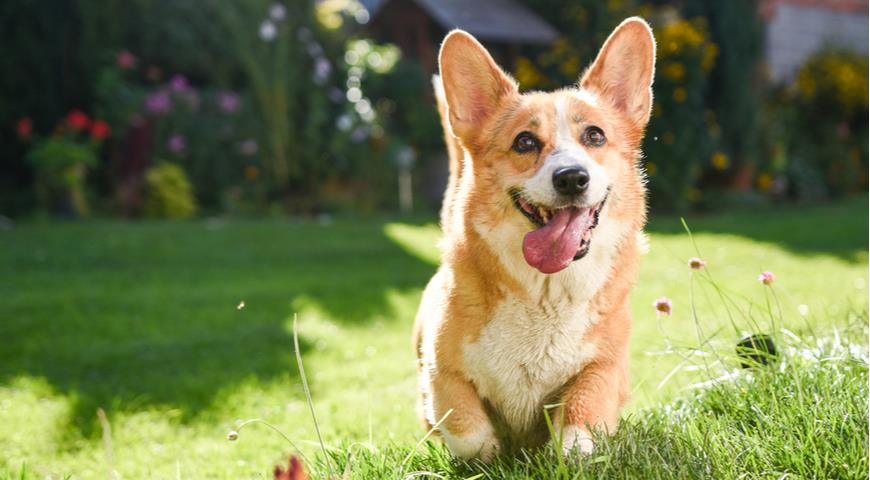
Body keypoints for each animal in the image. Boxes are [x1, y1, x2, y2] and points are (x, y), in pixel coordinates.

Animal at [414, 17, 656, 462]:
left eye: (595, 136)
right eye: (524, 142)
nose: (572, 178)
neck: (546, 292)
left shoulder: (606, 368)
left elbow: (581, 414)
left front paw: (568, 449)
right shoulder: (439, 371)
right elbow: (467, 430)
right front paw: (492, 452)